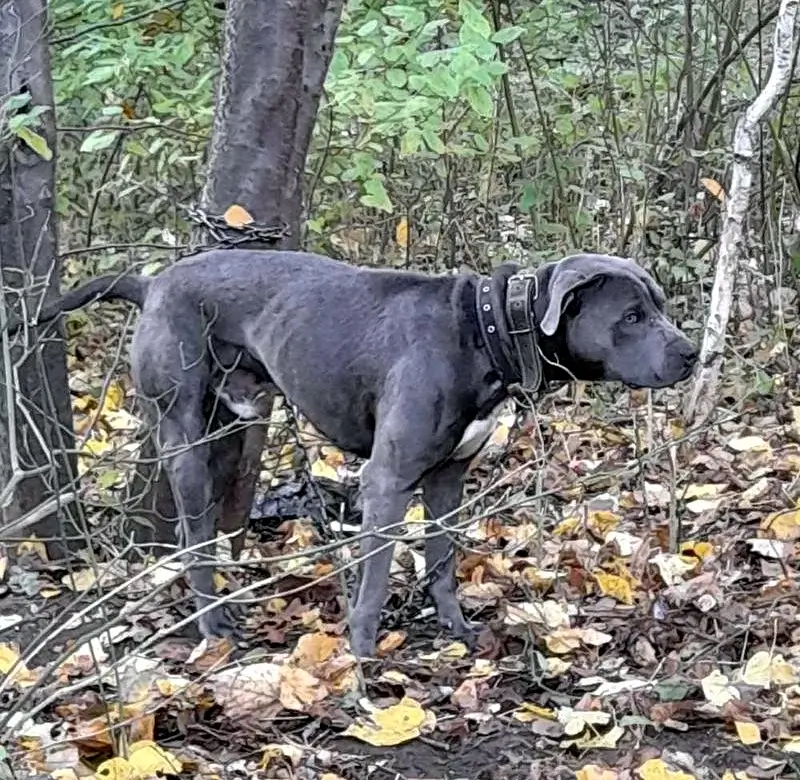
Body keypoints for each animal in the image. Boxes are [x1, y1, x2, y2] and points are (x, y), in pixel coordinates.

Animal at [32, 251, 692, 660]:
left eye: (658, 305)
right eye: (632, 315)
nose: (692, 353)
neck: (488, 331)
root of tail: (154, 282)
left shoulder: (448, 479)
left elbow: (442, 561)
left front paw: (456, 629)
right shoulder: (389, 480)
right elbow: (374, 579)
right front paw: (362, 654)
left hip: (233, 429)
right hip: (184, 436)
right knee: (193, 534)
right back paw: (212, 621)